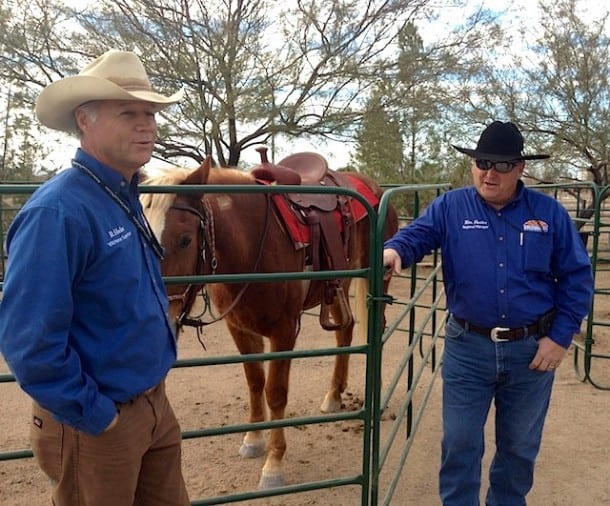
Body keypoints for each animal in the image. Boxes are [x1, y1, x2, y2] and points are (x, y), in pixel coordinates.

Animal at [140, 151, 396, 490]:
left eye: (184, 240)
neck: (250, 246)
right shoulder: (239, 328)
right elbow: (254, 382)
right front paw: (253, 440)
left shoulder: (284, 331)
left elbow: (275, 392)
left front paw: (273, 464)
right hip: (341, 285)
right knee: (346, 332)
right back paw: (333, 396)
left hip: (378, 277)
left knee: (375, 328)